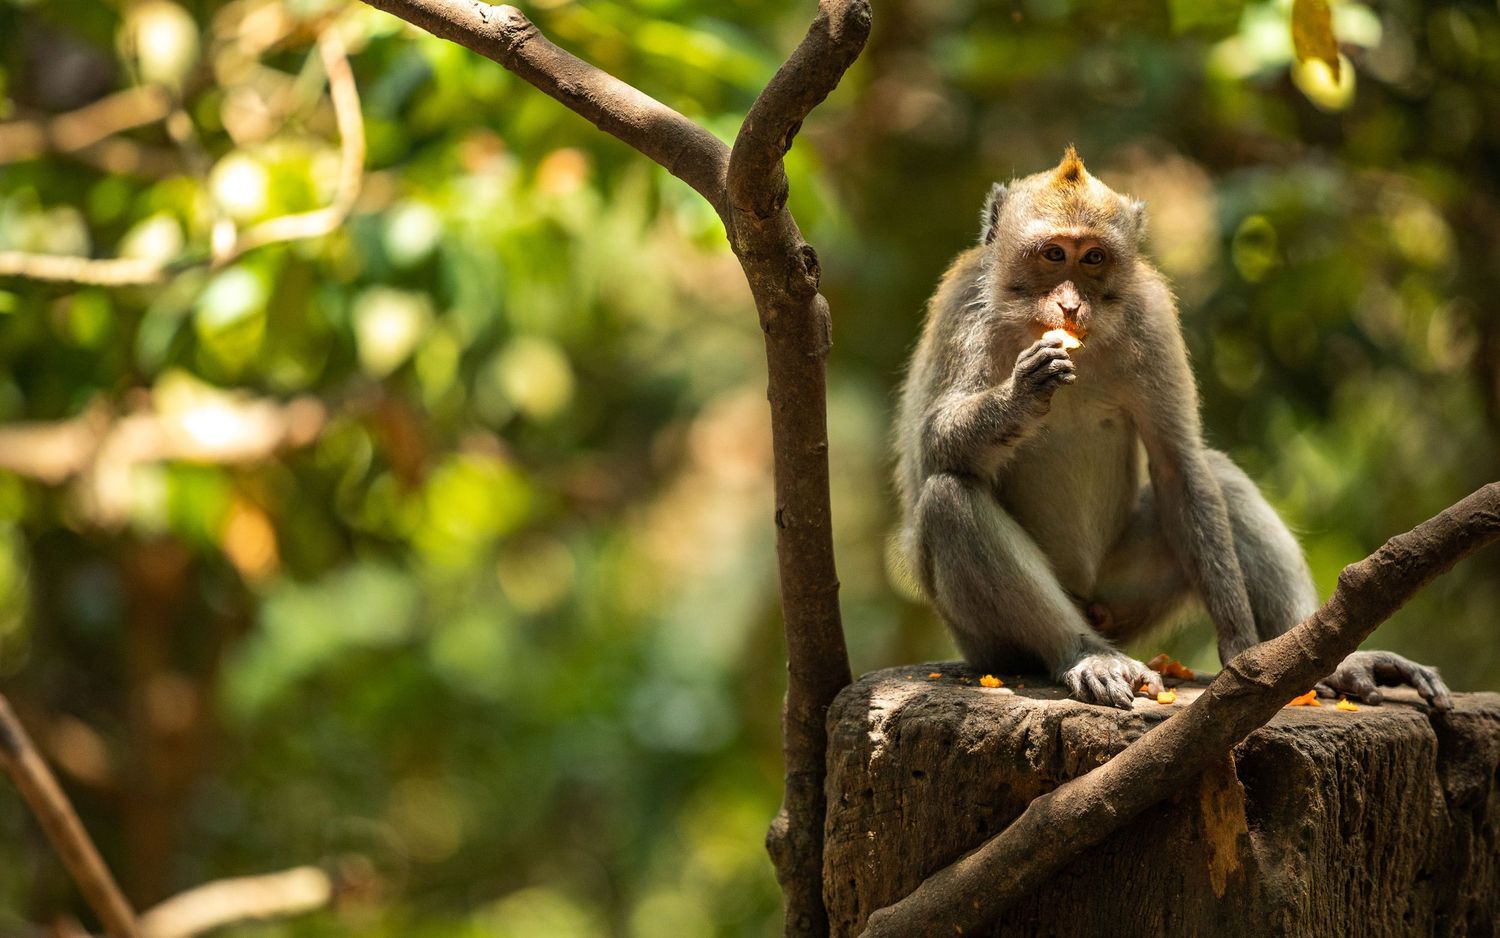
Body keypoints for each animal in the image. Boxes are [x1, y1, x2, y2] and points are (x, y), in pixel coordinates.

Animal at [893, 147, 1453, 711]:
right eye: (1052, 254)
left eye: (1092, 258)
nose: (1070, 305)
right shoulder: (965, 305)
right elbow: (932, 446)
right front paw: (1021, 395)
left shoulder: (1151, 315)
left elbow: (1178, 463)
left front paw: (1243, 654)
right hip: (988, 642)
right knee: (948, 499)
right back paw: (1085, 652)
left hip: (1125, 594)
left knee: (1219, 476)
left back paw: (1321, 657)